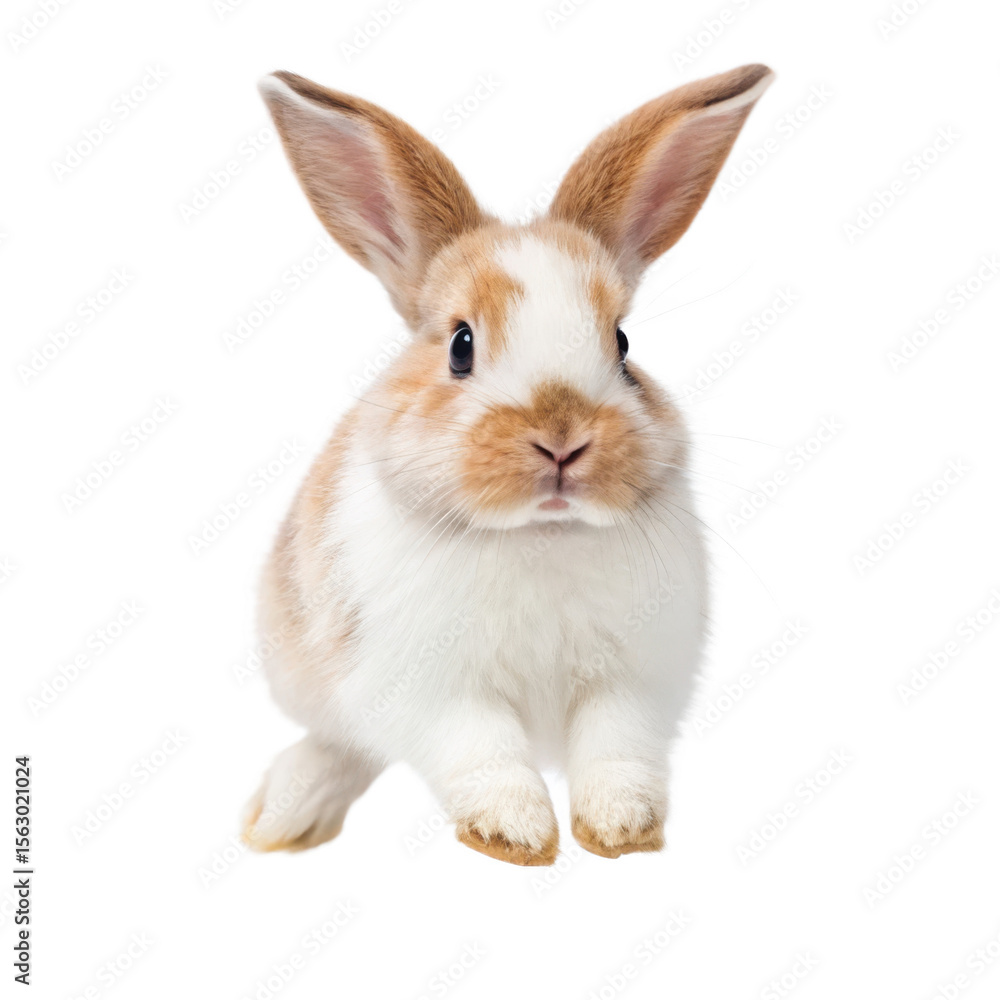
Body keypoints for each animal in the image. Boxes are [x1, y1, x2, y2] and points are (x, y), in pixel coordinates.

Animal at [242, 64, 774, 866]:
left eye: (622, 345)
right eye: (460, 344)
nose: (561, 439)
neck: (539, 533)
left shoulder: (633, 681)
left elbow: (616, 750)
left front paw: (621, 829)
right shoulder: (434, 688)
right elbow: (483, 753)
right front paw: (515, 833)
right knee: (344, 744)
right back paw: (286, 812)